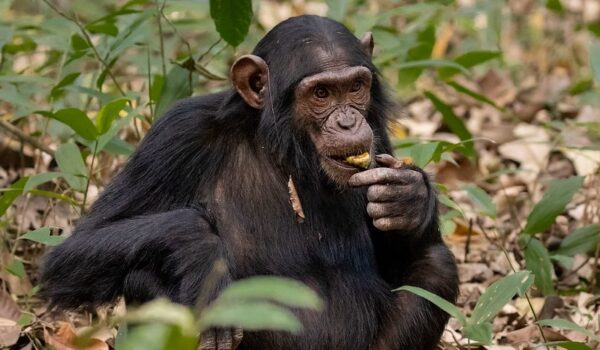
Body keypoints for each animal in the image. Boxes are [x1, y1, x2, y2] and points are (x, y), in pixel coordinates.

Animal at [42, 15, 460, 348]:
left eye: (356, 87)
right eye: (321, 93)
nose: (348, 121)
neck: (284, 150)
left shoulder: (379, 141)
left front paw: (410, 196)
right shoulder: (177, 133)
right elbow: (75, 250)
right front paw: (201, 254)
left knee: (436, 266)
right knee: (142, 273)